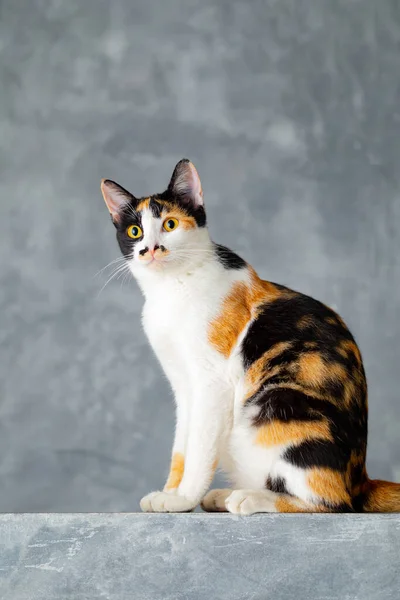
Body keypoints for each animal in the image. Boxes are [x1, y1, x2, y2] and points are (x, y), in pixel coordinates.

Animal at [101, 157, 400, 512]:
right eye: (135, 231)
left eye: (170, 225)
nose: (150, 249)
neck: (171, 289)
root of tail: (361, 479)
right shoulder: (184, 387)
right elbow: (182, 446)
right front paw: (171, 493)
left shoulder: (212, 381)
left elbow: (200, 447)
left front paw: (185, 498)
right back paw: (224, 495)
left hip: (281, 401)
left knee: (332, 501)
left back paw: (248, 498)